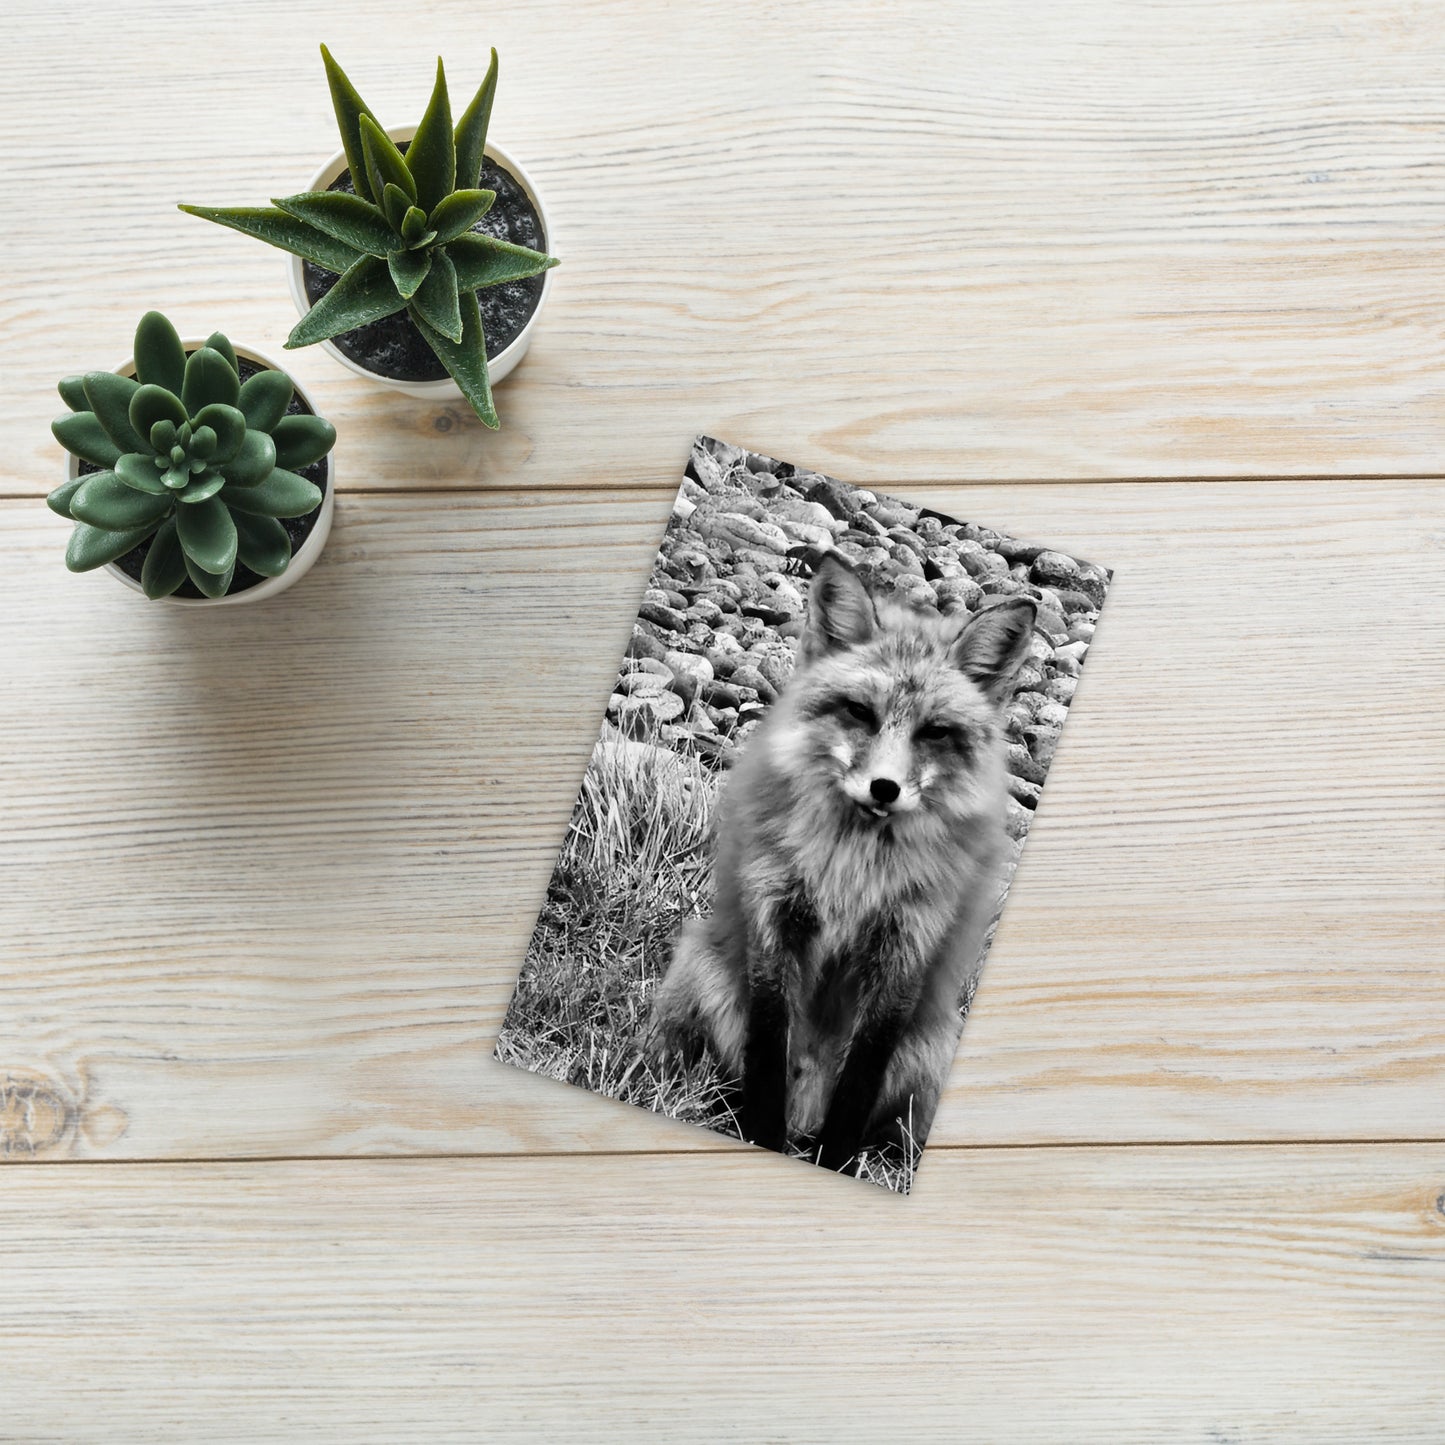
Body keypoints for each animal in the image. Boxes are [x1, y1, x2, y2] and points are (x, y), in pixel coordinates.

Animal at [647, 550, 1037, 1172]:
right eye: (859, 711)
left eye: (934, 732)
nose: (884, 789)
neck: (853, 871)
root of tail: (805, 1113)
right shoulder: (773, 918)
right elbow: (766, 1054)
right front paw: (761, 1137)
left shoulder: (907, 946)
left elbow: (860, 1080)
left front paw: (836, 1165)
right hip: (699, 965)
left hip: (934, 1045)